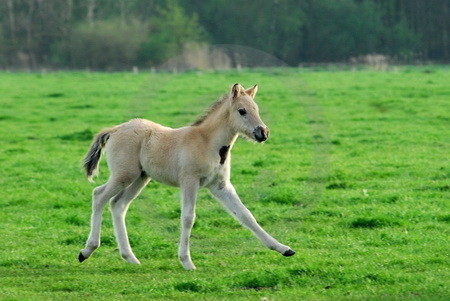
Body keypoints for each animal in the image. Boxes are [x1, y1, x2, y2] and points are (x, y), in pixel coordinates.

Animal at [79, 83, 296, 268]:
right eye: (242, 111)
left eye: (256, 109)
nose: (263, 133)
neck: (207, 142)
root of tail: (115, 129)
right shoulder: (190, 182)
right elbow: (188, 217)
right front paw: (186, 261)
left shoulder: (220, 186)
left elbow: (245, 215)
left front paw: (283, 249)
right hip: (124, 174)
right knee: (99, 196)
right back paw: (87, 251)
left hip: (141, 177)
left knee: (118, 204)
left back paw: (130, 257)